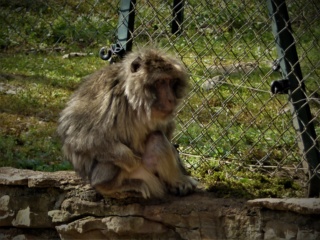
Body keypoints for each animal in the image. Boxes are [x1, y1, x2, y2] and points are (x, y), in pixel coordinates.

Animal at [57, 47, 198, 198]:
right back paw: (109, 186)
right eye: (160, 81)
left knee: (157, 138)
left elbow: (167, 129)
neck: (134, 100)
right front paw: (131, 160)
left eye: (170, 81)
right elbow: (78, 136)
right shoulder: (111, 96)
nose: (171, 99)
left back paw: (176, 180)